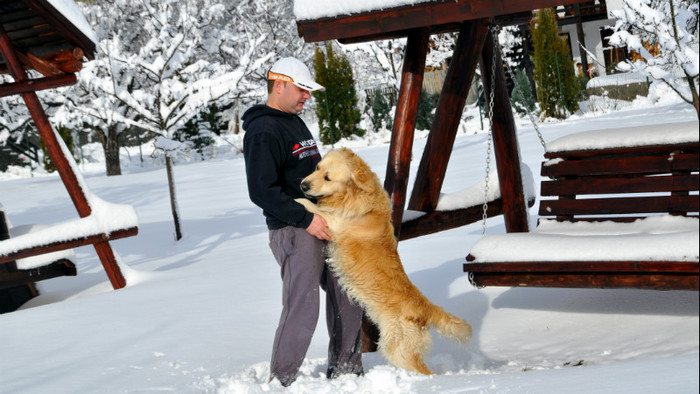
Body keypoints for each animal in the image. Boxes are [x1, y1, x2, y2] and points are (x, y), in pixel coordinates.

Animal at [296, 149, 470, 376]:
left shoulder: (334, 222)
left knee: (424, 370)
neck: (355, 195)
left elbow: (310, 206)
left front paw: (296, 199)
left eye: (328, 177)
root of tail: (426, 308)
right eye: (317, 168)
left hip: (397, 348)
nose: (303, 185)